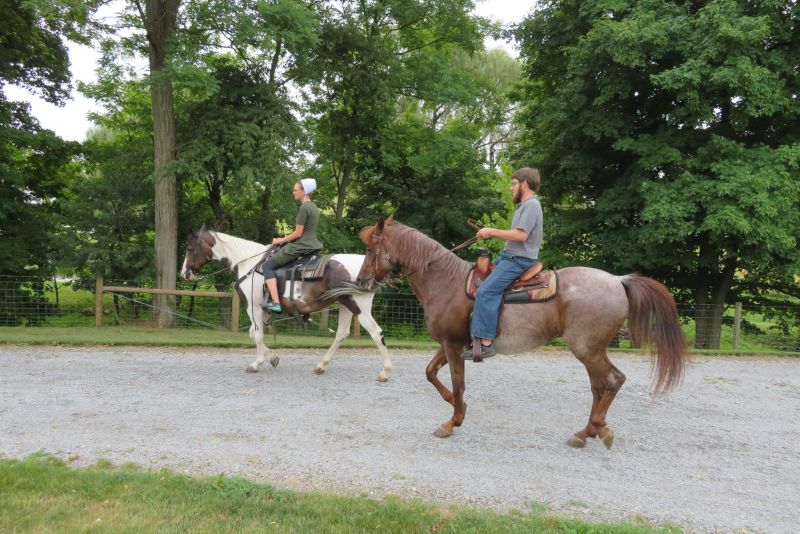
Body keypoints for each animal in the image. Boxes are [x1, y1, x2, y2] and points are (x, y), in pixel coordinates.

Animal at [182, 228, 394, 384]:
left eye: (190, 248)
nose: (184, 273)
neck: (250, 263)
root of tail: (369, 270)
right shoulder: (264, 310)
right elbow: (253, 334)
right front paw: (272, 358)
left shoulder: (253, 307)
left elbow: (257, 335)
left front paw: (256, 363)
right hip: (344, 305)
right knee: (342, 334)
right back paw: (321, 365)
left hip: (359, 307)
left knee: (377, 333)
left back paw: (385, 372)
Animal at [356, 216, 688, 450]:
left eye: (371, 248)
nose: (360, 281)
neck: (446, 283)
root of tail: (619, 280)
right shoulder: (452, 344)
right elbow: (430, 373)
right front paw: (455, 406)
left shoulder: (452, 345)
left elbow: (458, 384)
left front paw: (453, 421)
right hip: (592, 350)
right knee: (600, 386)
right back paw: (585, 433)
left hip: (587, 348)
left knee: (613, 381)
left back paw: (600, 428)